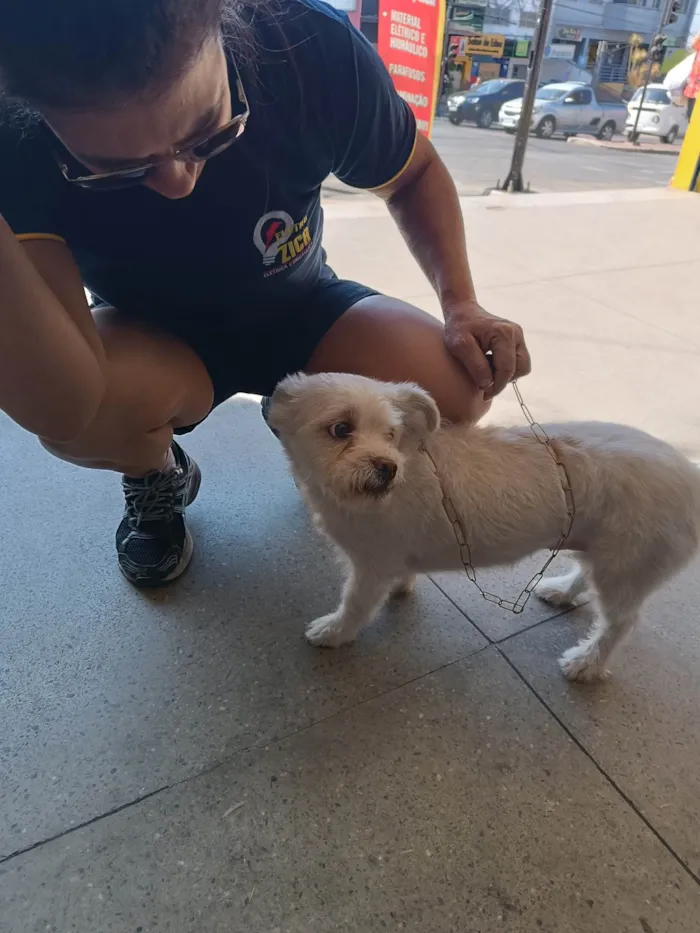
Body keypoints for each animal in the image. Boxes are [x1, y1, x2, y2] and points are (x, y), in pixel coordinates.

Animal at [268, 374, 700, 684]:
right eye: (341, 429)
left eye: (390, 433)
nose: (387, 467)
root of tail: (690, 474)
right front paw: (402, 586)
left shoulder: (371, 567)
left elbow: (355, 604)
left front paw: (335, 631)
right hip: (600, 549)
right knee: (585, 573)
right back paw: (563, 591)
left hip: (624, 568)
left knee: (621, 623)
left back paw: (587, 663)